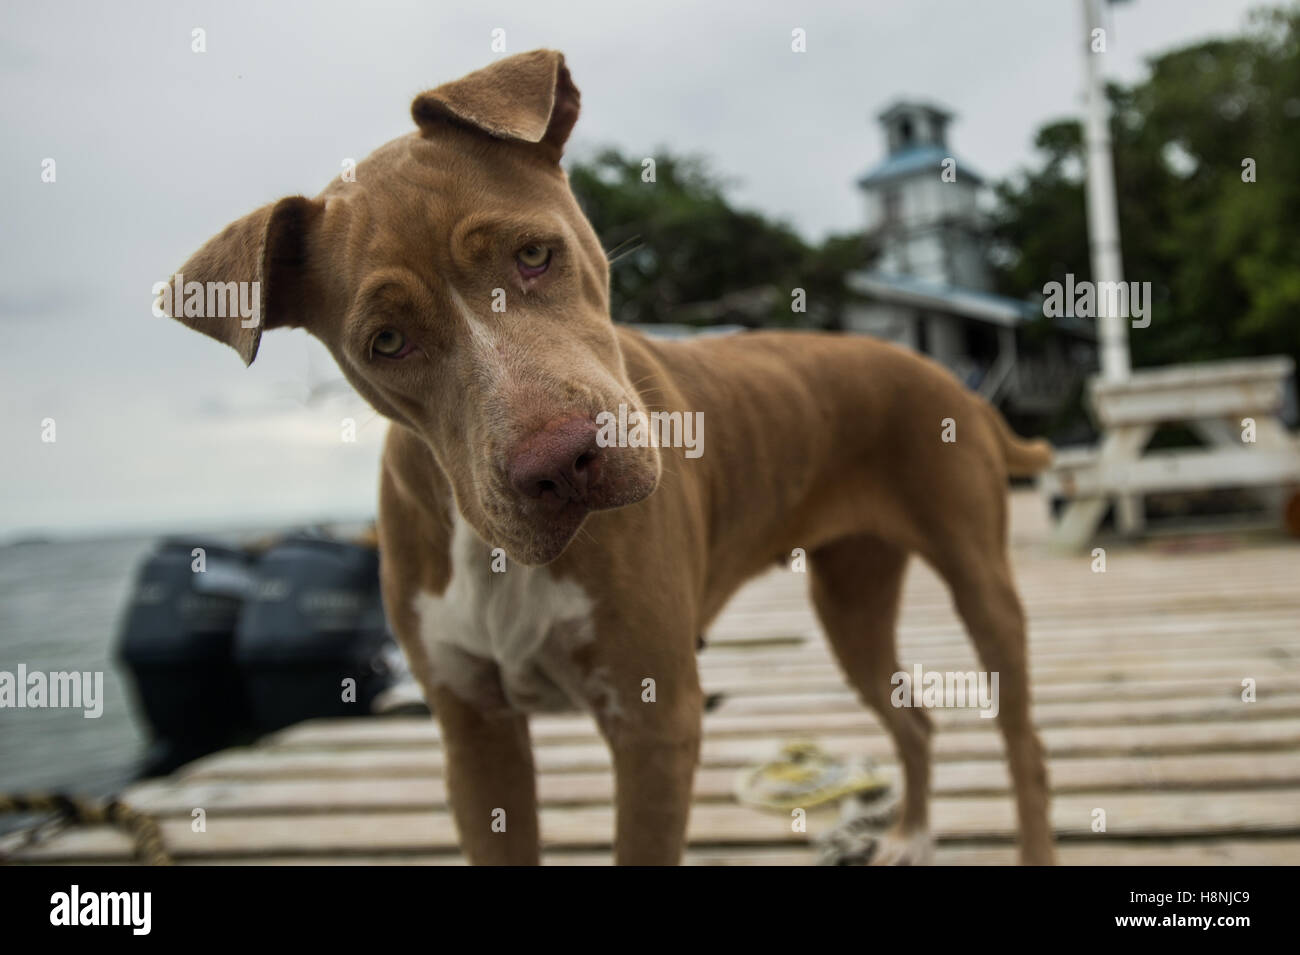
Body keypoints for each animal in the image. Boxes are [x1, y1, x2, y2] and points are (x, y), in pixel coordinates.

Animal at [162, 50, 1055, 867]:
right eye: (385, 341)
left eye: (534, 254)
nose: (560, 465)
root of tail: (948, 377)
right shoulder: (476, 735)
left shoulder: (654, 718)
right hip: (852, 601)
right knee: (912, 715)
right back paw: (909, 831)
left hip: (979, 582)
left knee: (1024, 747)